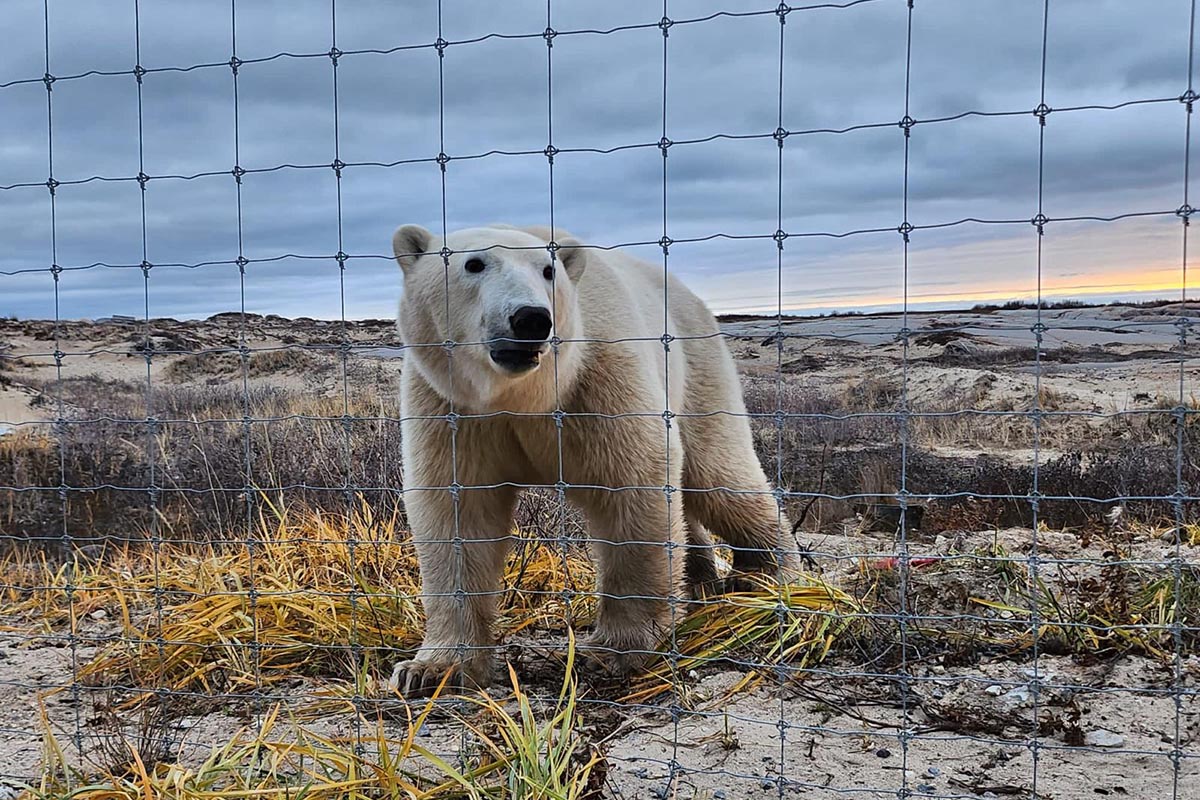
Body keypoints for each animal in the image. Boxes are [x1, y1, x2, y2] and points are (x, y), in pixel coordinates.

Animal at [388, 224, 792, 695]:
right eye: (473, 263)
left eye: (548, 271)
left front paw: (615, 649)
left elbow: (633, 483)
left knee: (718, 476)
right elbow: (458, 511)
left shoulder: (598, 379)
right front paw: (429, 669)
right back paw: (701, 580)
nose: (531, 319)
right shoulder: (453, 410)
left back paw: (766, 573)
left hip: (697, 367)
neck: (523, 396)